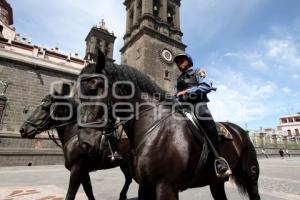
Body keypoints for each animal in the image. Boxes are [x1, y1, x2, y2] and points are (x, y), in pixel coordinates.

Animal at [77, 50, 260, 200]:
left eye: (95, 88)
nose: (85, 142)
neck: (153, 127)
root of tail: (239, 130)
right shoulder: (145, 187)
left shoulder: (166, 187)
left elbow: (204, 85)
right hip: (216, 182)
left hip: (250, 177)